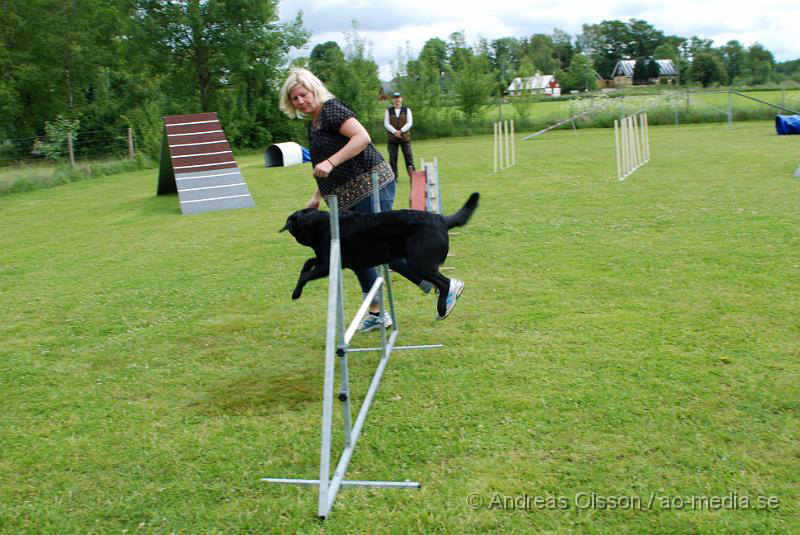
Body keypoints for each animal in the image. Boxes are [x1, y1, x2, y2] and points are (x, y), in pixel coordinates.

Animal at [280, 193, 478, 318]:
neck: (318, 225)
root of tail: (442, 219)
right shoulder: (324, 260)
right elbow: (307, 263)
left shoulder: (327, 265)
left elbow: (305, 274)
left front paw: (295, 293)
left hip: (419, 263)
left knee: (445, 283)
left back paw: (442, 308)